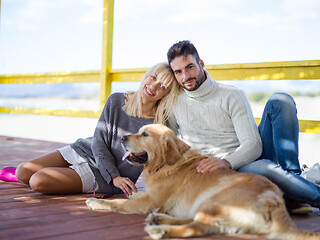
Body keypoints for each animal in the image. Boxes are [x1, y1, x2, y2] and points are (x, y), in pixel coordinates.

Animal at [85, 124, 320, 239]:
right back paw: (159, 220)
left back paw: (161, 230)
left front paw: (97, 202)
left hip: (213, 201)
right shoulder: (149, 196)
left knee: (196, 228)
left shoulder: (150, 201)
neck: (166, 163)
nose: (123, 138)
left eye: (145, 134)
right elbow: (134, 194)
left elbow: (119, 203)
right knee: (197, 223)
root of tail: (275, 198)